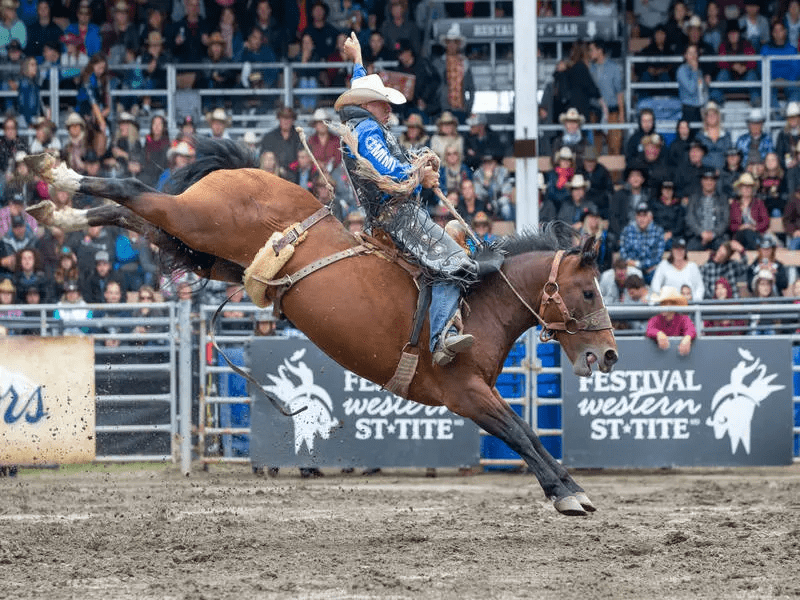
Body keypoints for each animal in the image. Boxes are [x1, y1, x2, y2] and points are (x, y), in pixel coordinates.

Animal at [26, 139, 620, 516]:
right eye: (589, 291)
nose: (609, 356)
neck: (479, 301)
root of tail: (245, 171)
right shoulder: (466, 392)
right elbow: (520, 432)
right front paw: (567, 492)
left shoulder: (480, 392)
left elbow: (527, 432)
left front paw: (573, 488)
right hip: (199, 221)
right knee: (133, 189)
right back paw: (55, 173)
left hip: (210, 252)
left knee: (136, 218)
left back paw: (59, 213)